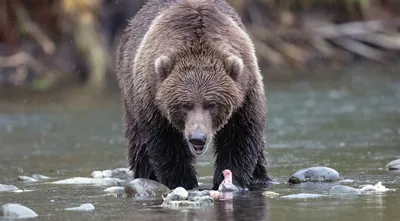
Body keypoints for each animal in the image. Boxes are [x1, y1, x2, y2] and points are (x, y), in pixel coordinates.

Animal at [115, 0, 272, 190]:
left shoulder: (245, 94)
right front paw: (183, 181)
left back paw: (260, 177)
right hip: (130, 91)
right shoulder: (153, 99)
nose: (198, 138)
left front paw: (231, 180)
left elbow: (240, 138)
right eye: (185, 104)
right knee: (139, 144)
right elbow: (166, 145)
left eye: (212, 104)